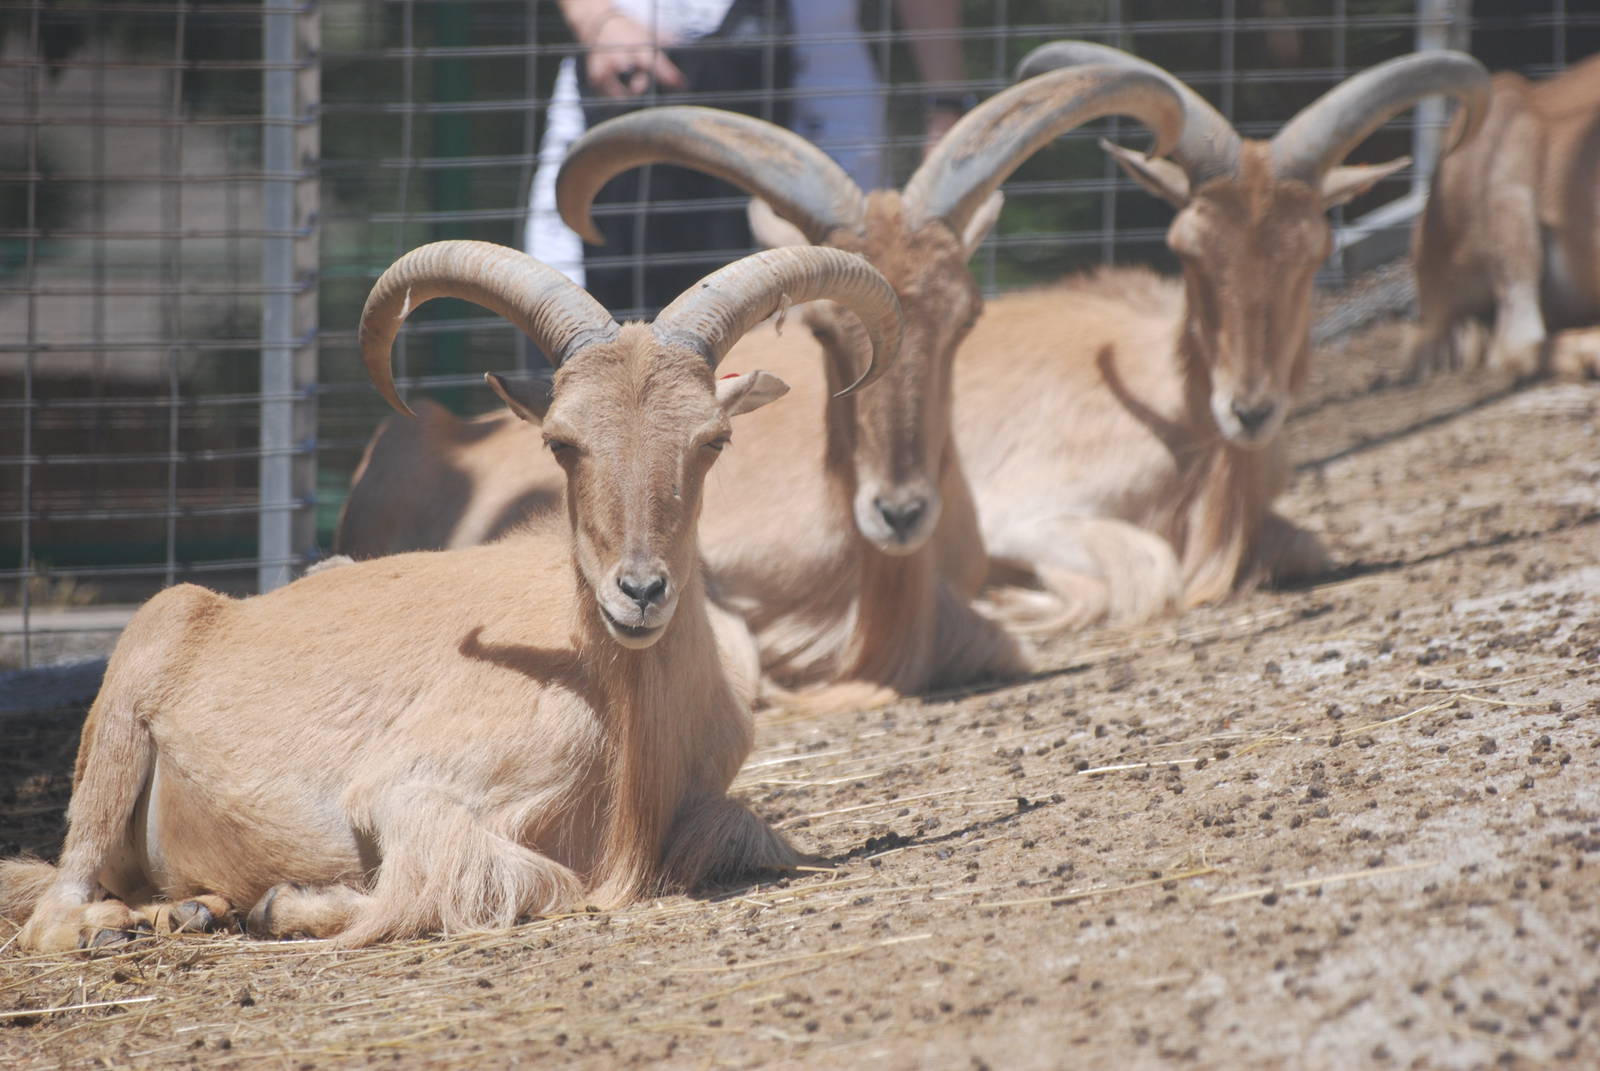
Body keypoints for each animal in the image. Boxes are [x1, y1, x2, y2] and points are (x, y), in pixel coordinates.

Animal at [0, 240, 904, 951]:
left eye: (713, 439)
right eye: (562, 441)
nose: (641, 592)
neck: (620, 724)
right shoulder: (409, 794)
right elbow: (519, 881)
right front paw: (288, 904)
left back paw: (189, 909)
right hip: (127, 703)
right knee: (52, 910)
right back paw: (124, 924)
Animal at [943, 43, 1490, 629]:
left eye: (1314, 252)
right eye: (1187, 248)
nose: (1249, 412)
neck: (1180, 422)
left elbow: (1301, 546)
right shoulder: (1013, 516)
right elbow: (1148, 570)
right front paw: (1005, 600)